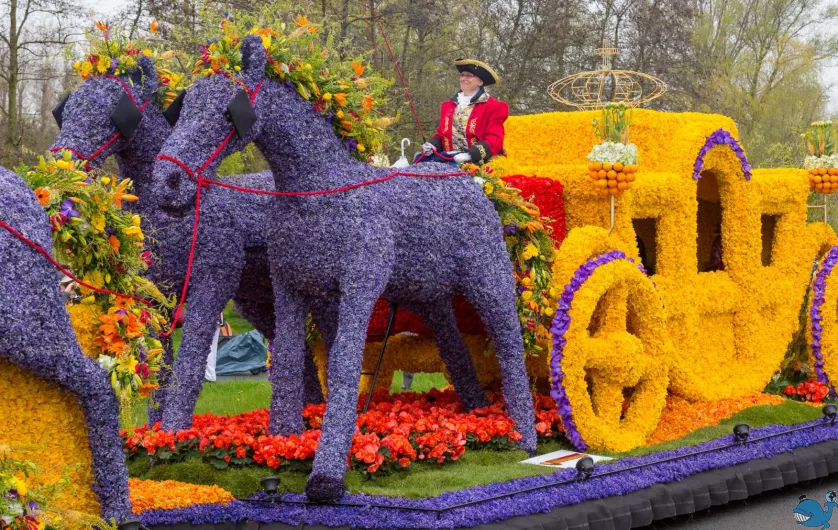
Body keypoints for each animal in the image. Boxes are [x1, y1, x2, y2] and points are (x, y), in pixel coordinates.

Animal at [49, 54, 324, 428]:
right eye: (68, 110)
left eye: (110, 111)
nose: (58, 166)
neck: (170, 216)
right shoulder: (155, 296)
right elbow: (159, 371)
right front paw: (154, 434)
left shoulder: (211, 284)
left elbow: (189, 366)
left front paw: (175, 432)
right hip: (257, 298)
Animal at [153, 36, 536, 500]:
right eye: (183, 107)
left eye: (228, 109)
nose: (167, 182)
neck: (318, 195)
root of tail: (468, 181)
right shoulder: (291, 287)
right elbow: (287, 362)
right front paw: (284, 442)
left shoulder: (357, 287)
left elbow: (343, 365)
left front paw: (327, 473)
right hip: (429, 294)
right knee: (455, 347)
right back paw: (479, 414)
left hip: (489, 280)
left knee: (509, 342)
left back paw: (523, 436)